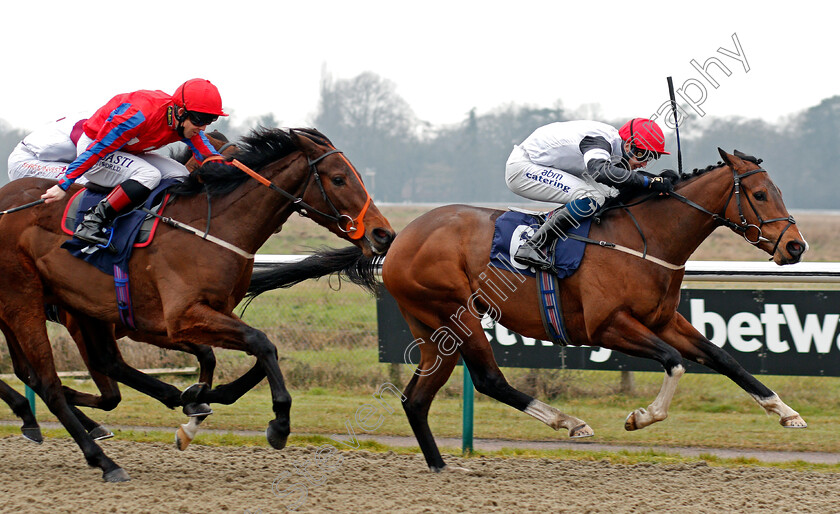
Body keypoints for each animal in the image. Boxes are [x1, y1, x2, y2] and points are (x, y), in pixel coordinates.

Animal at [0, 126, 396, 478]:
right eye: (338, 179)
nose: (384, 234)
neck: (211, 227)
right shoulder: (177, 316)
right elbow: (259, 343)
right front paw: (279, 424)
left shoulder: (196, 314)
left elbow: (251, 352)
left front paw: (203, 401)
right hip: (24, 300)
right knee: (48, 383)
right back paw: (102, 459)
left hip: (71, 309)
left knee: (85, 368)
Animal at [244, 147, 808, 468]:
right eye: (760, 194)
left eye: (780, 190)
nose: (796, 247)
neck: (646, 239)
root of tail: (400, 238)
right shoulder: (608, 326)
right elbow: (673, 363)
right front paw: (641, 417)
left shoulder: (664, 320)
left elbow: (724, 358)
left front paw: (786, 412)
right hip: (454, 315)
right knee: (486, 380)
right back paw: (568, 423)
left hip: (431, 329)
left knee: (416, 398)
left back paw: (441, 467)